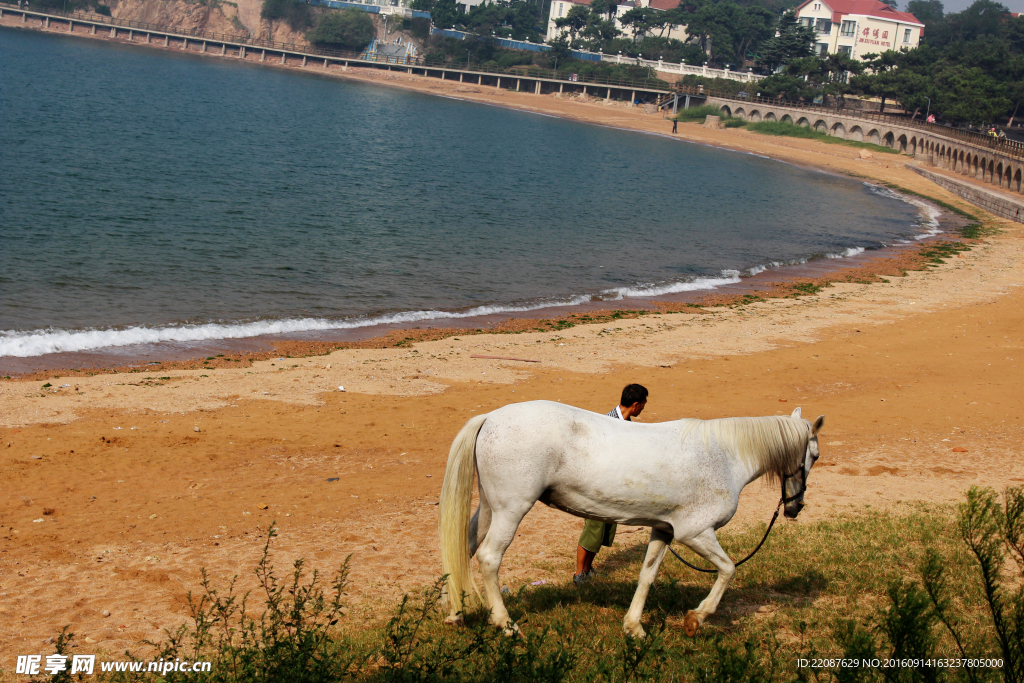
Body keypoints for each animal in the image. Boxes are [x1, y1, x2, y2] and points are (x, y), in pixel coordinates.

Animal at [438, 397, 823, 638]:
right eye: (815, 455)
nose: (795, 507)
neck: (724, 456)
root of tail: (491, 417)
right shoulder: (695, 533)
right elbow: (728, 570)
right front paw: (696, 618)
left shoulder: (664, 532)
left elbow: (647, 576)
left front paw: (634, 627)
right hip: (511, 510)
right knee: (489, 558)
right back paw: (505, 624)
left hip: (491, 509)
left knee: (464, 549)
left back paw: (455, 613)